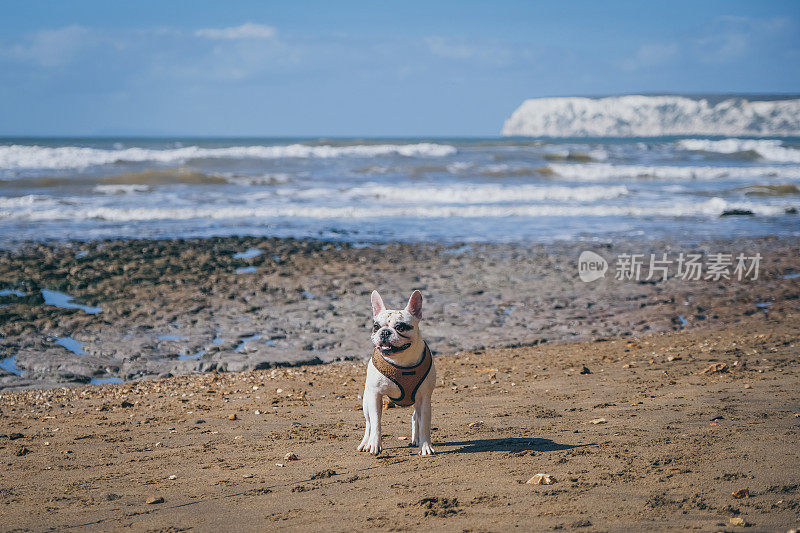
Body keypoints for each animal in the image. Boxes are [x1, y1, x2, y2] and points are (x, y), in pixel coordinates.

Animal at [358, 288, 438, 456]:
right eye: (376, 327)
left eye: (401, 327)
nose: (385, 332)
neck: (401, 361)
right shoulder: (375, 396)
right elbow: (376, 422)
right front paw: (374, 444)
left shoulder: (424, 398)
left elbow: (424, 424)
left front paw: (425, 446)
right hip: (366, 399)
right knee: (369, 423)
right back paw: (365, 443)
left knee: (416, 417)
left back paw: (416, 439)